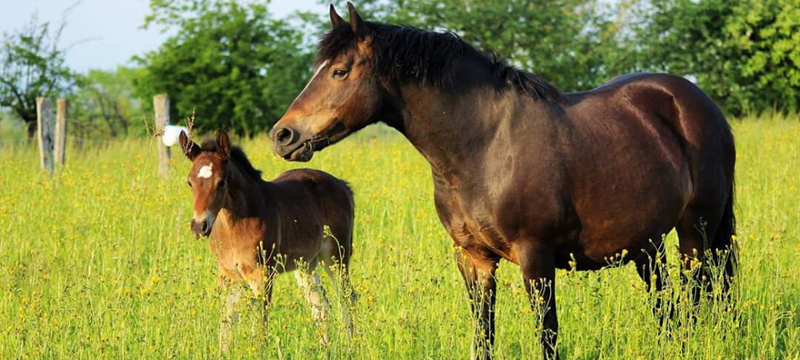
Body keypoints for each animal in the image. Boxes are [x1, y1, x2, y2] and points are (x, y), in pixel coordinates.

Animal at [181, 130, 360, 352]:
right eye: (190, 182)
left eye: (221, 181)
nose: (199, 226)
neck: (234, 227)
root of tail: (342, 185)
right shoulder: (228, 275)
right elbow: (226, 323)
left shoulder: (263, 273)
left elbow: (260, 322)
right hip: (306, 264)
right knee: (320, 304)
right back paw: (325, 350)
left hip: (337, 256)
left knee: (346, 297)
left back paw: (350, 348)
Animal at [270, 3, 736, 360]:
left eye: (340, 72)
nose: (283, 135)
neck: (485, 145)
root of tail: (697, 102)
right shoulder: (473, 259)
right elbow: (484, 336)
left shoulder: (536, 258)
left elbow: (547, 336)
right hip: (647, 245)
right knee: (667, 309)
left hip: (695, 235)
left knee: (696, 301)